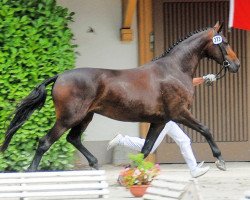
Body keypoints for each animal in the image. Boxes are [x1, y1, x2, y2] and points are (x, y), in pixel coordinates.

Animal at [0, 22, 239, 171]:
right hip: (68, 118)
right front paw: (220, 160)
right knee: (45, 142)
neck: (174, 70)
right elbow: (206, 129)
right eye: (225, 42)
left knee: (73, 139)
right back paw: (32, 172)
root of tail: (59, 76)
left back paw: (95, 163)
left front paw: (131, 172)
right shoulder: (179, 113)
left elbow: (146, 149)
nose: (236, 65)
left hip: (85, 117)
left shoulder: (159, 121)